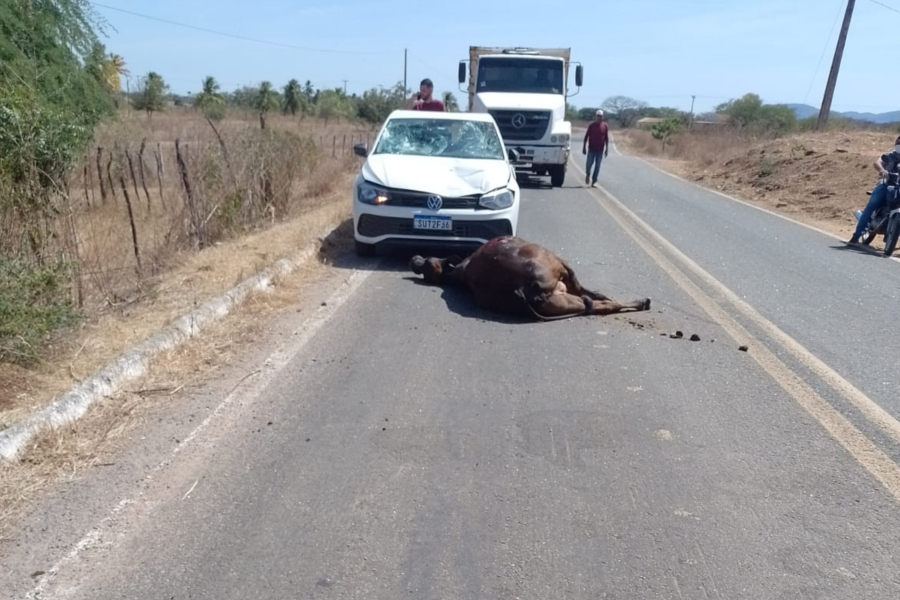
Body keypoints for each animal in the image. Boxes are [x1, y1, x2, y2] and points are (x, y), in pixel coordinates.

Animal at [412, 234, 652, 322]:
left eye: (427, 264)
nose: (414, 259)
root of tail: (522, 289)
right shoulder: (566, 270)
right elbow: (596, 293)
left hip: (562, 302)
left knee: (593, 305)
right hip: (561, 279)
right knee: (600, 304)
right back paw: (642, 302)